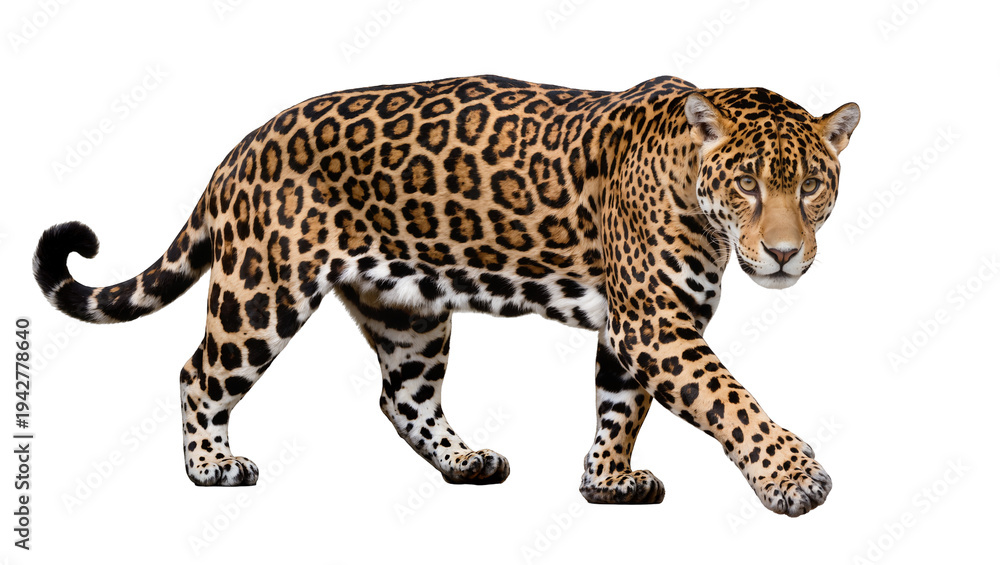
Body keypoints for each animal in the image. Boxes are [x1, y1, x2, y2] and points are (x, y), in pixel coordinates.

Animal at [33, 74, 859, 516]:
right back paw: (211, 466)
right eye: (747, 183)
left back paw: (466, 460)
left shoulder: (635, 327)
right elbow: (730, 399)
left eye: (811, 185)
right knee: (199, 372)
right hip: (263, 290)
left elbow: (619, 406)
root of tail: (241, 148)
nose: (784, 253)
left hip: (408, 311)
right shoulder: (657, 323)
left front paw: (605, 479)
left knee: (403, 397)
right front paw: (795, 477)